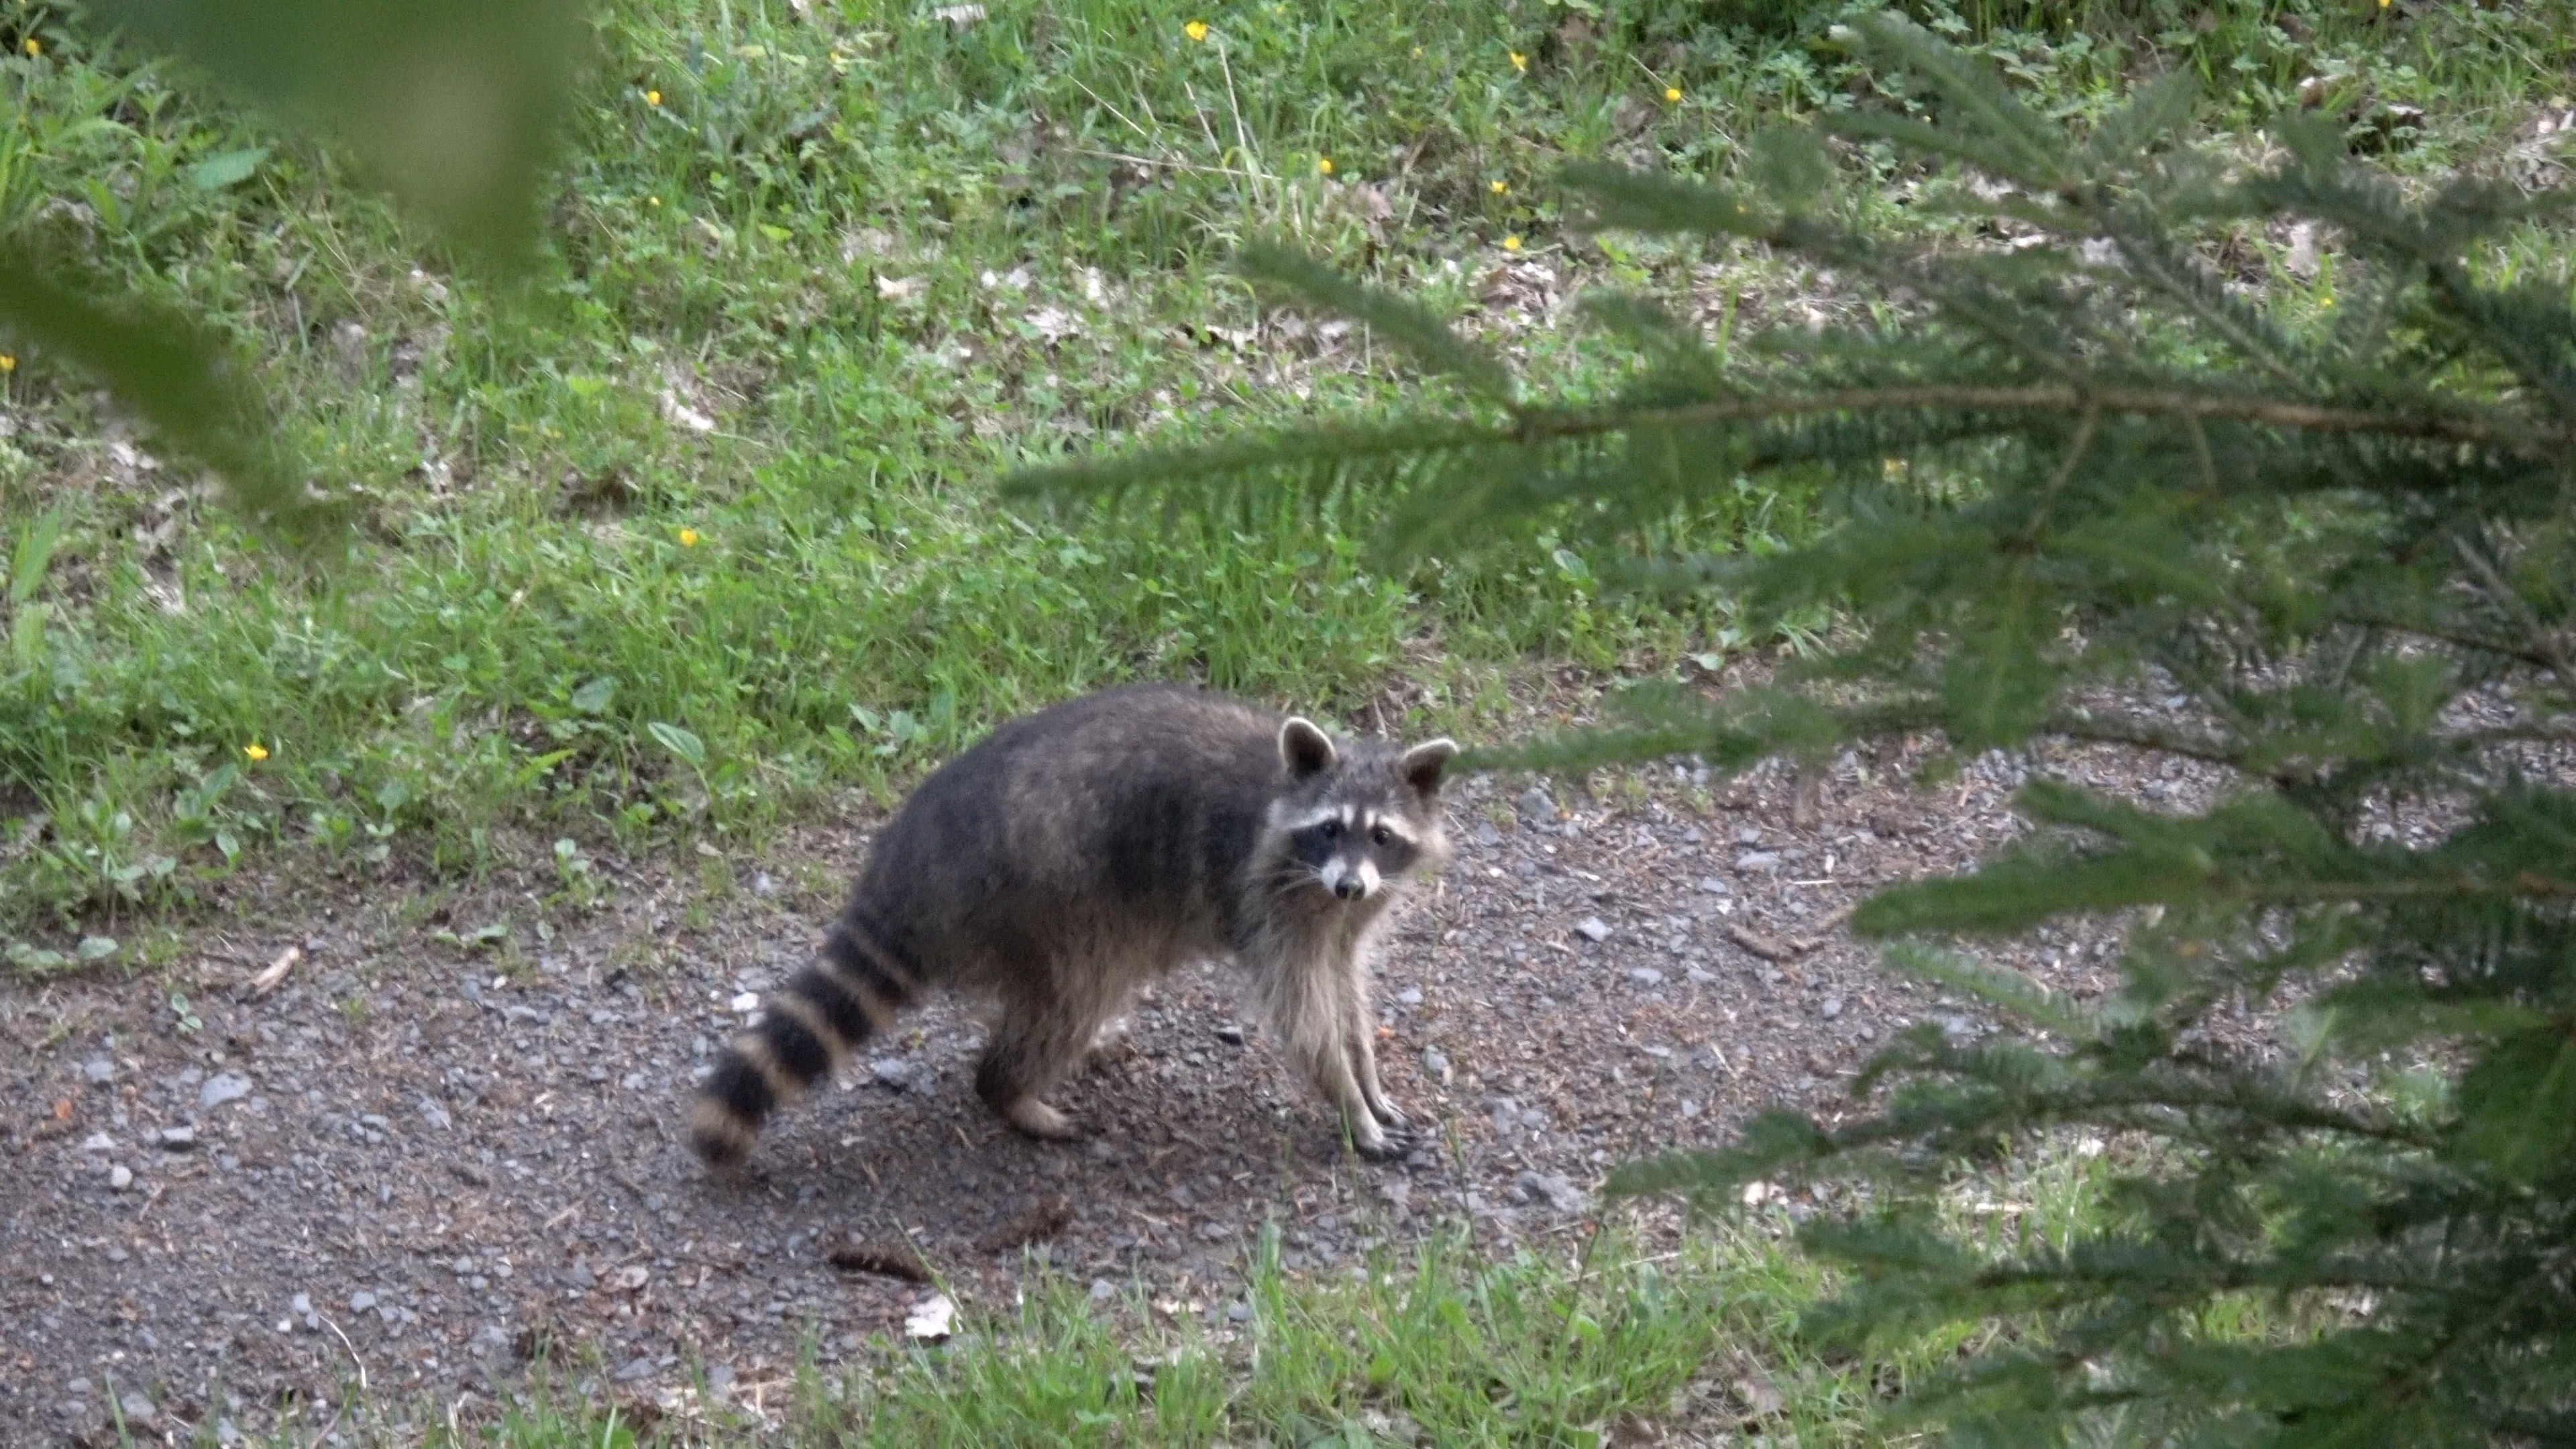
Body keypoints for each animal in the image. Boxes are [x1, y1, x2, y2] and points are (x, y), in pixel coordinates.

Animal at [690, 680, 1452, 1165]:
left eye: (1381, 835)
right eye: (1329, 829)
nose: (1350, 883)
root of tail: (910, 862)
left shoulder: (1343, 916)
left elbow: (1345, 991)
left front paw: (1368, 1078)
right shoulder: (1272, 900)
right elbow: (1304, 1017)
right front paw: (1349, 1104)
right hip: (1042, 901)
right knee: (1073, 996)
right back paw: (1008, 1090)